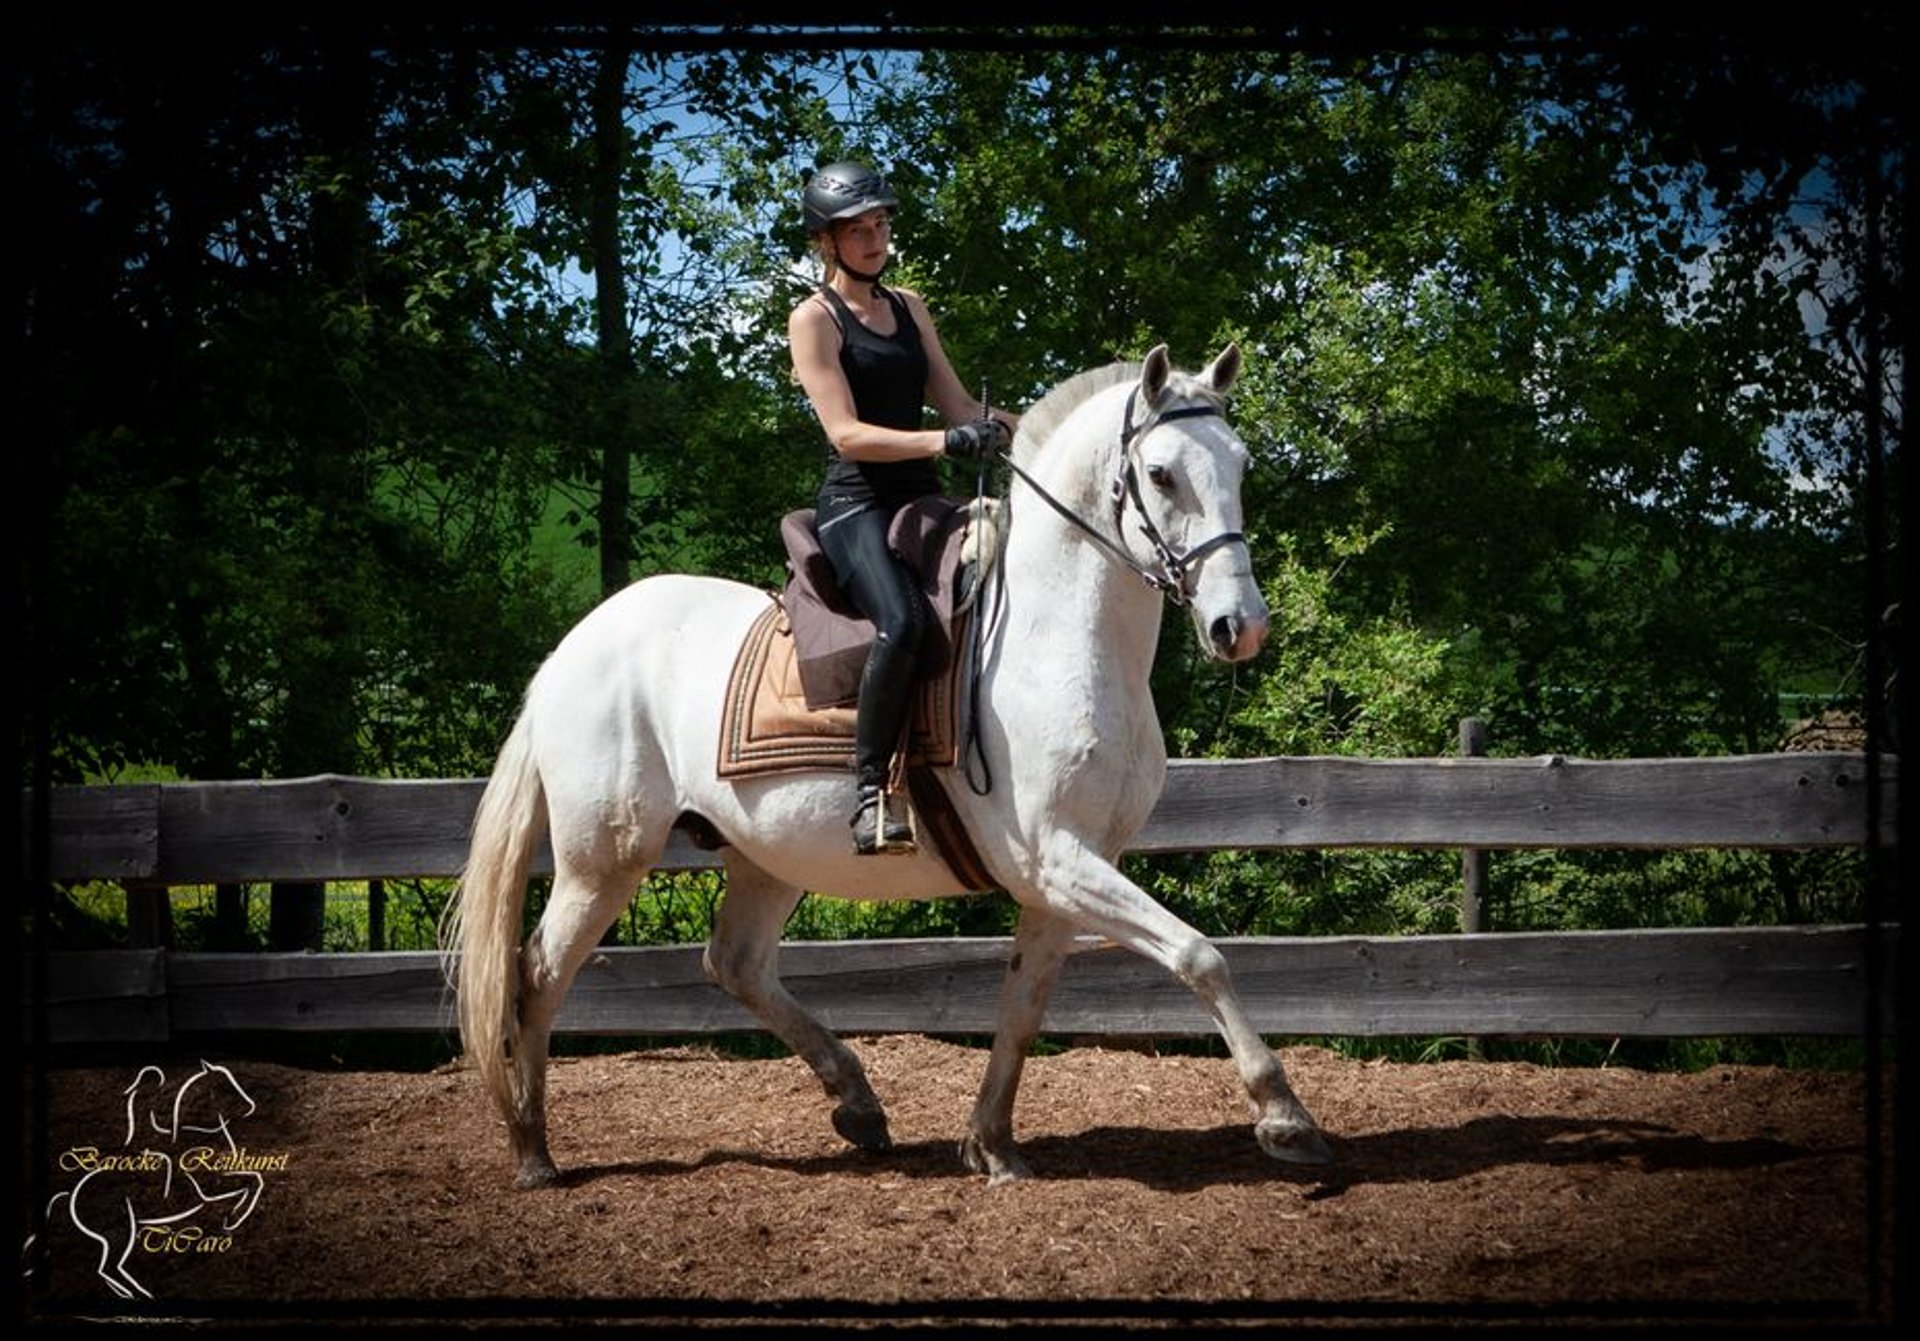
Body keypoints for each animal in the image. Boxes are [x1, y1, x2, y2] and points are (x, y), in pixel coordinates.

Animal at [439, 341, 1328, 1183]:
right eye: (1161, 473)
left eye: (1241, 464)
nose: (1240, 625)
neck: (1059, 638)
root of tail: (573, 647)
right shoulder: (1059, 860)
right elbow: (1199, 954)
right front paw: (1285, 1116)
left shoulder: (1063, 873)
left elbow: (1024, 1001)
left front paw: (991, 1142)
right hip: (603, 861)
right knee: (537, 973)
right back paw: (532, 1148)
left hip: (767, 856)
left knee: (735, 963)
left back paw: (858, 1103)